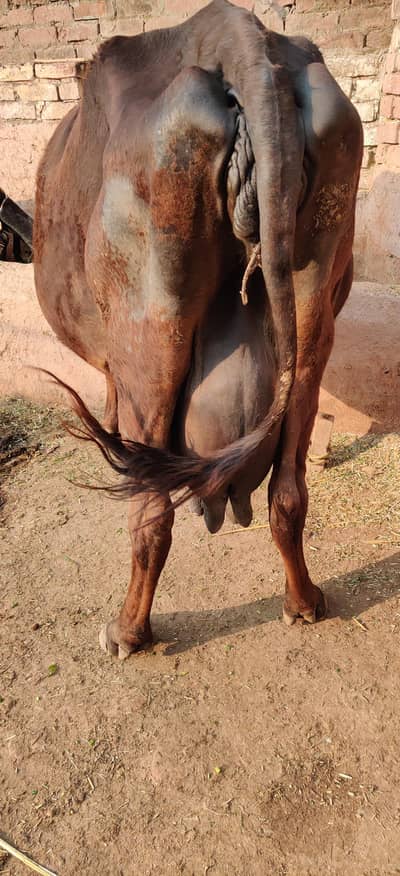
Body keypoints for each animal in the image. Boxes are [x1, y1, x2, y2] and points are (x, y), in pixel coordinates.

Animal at [34, 0, 363, 659]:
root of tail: (235, 38)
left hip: (150, 335)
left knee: (151, 510)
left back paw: (128, 632)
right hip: (316, 306)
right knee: (288, 492)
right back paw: (304, 603)